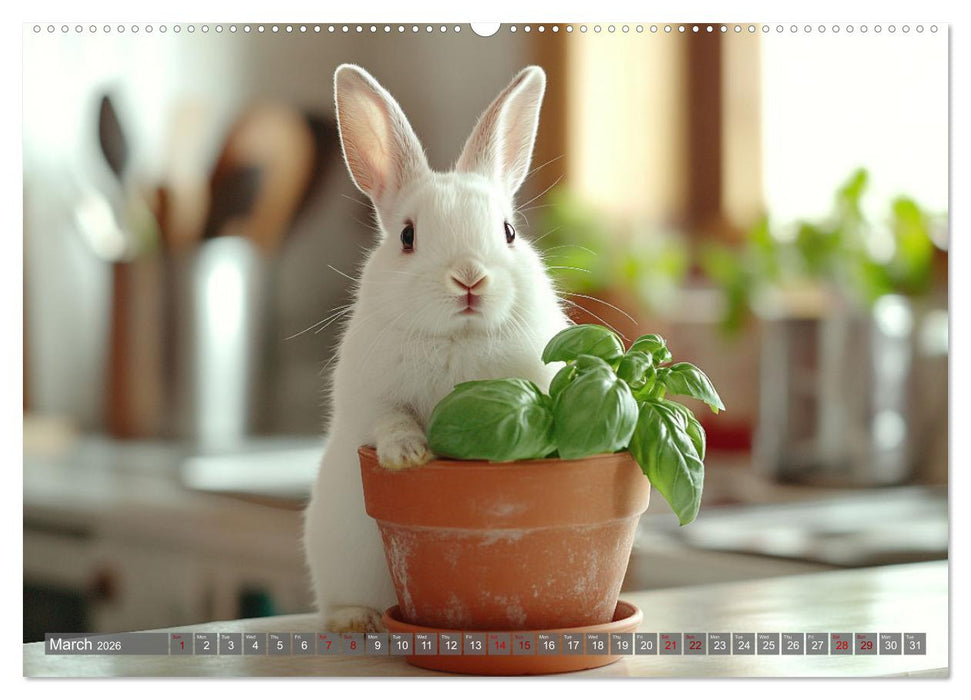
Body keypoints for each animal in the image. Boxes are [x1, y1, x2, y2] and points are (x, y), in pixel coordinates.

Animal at [303, 64, 569, 632]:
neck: (456, 340)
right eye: (407, 236)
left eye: (508, 231)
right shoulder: (371, 400)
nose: (469, 277)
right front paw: (409, 456)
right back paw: (357, 621)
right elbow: (392, 421)